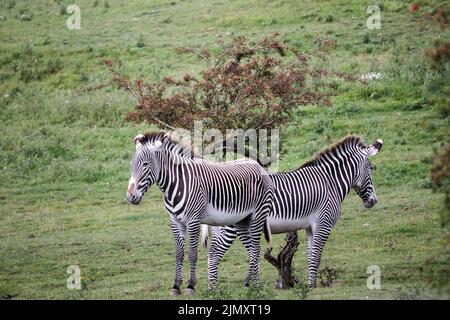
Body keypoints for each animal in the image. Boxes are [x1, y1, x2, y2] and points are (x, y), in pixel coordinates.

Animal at [126, 131, 274, 296]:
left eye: (145, 164)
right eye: (132, 164)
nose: (130, 196)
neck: (176, 184)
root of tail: (257, 164)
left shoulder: (193, 221)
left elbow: (192, 254)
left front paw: (191, 286)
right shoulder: (175, 221)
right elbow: (179, 254)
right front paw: (176, 286)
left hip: (257, 216)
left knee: (255, 248)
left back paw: (255, 285)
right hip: (242, 221)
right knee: (251, 249)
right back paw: (251, 284)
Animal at [204, 134, 384, 288]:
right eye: (371, 168)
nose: (373, 201)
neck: (329, 182)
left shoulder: (310, 227)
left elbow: (311, 256)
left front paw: (311, 284)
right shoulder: (324, 224)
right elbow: (317, 255)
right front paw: (313, 286)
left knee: (214, 254)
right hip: (230, 226)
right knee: (214, 255)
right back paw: (214, 289)